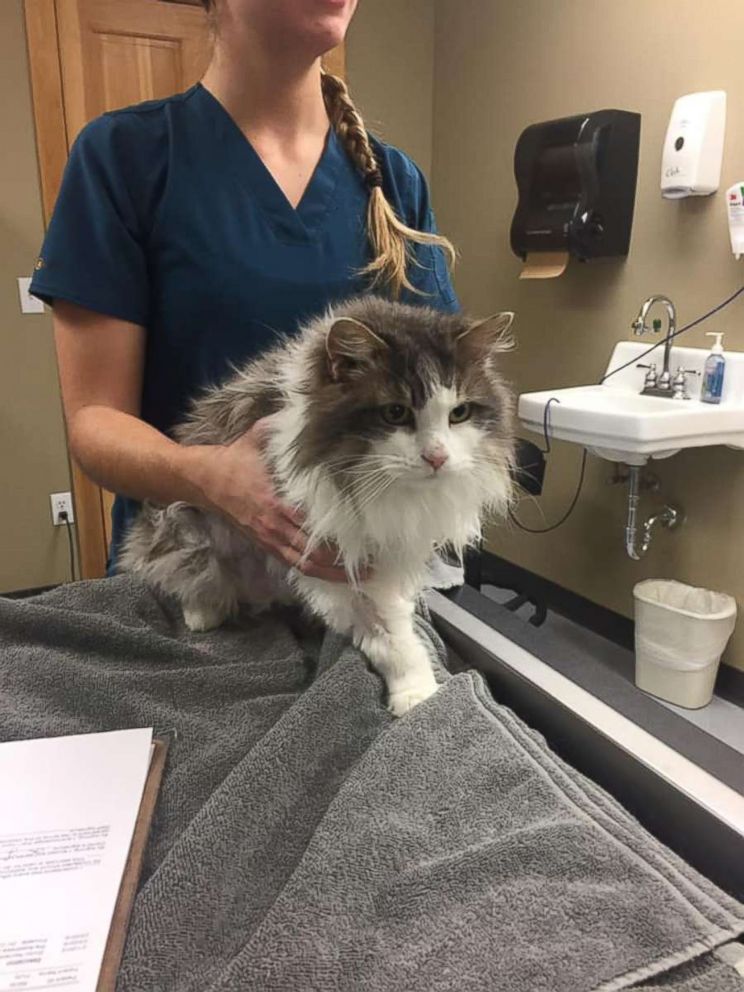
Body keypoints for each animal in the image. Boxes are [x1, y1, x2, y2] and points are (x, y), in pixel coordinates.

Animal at [122, 294, 516, 712]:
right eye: (396, 413)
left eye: (459, 413)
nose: (437, 457)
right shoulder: (335, 551)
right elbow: (390, 634)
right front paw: (415, 694)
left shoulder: (385, 553)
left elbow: (393, 622)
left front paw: (415, 690)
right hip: (185, 529)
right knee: (183, 574)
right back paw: (203, 612)